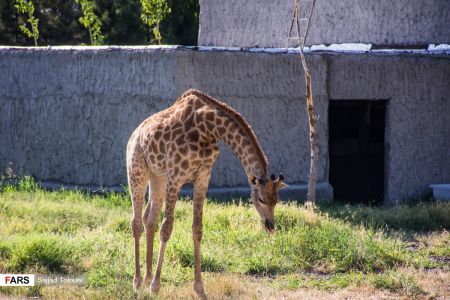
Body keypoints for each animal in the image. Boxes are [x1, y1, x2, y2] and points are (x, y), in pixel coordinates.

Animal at [126, 88, 288, 298]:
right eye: (260, 199)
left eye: (276, 200)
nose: (270, 226)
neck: (207, 128)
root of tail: (135, 133)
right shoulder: (176, 175)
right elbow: (167, 228)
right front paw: (156, 285)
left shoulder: (203, 176)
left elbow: (197, 229)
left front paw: (199, 289)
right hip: (137, 169)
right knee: (137, 222)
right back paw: (138, 283)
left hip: (158, 176)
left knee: (150, 220)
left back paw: (146, 279)